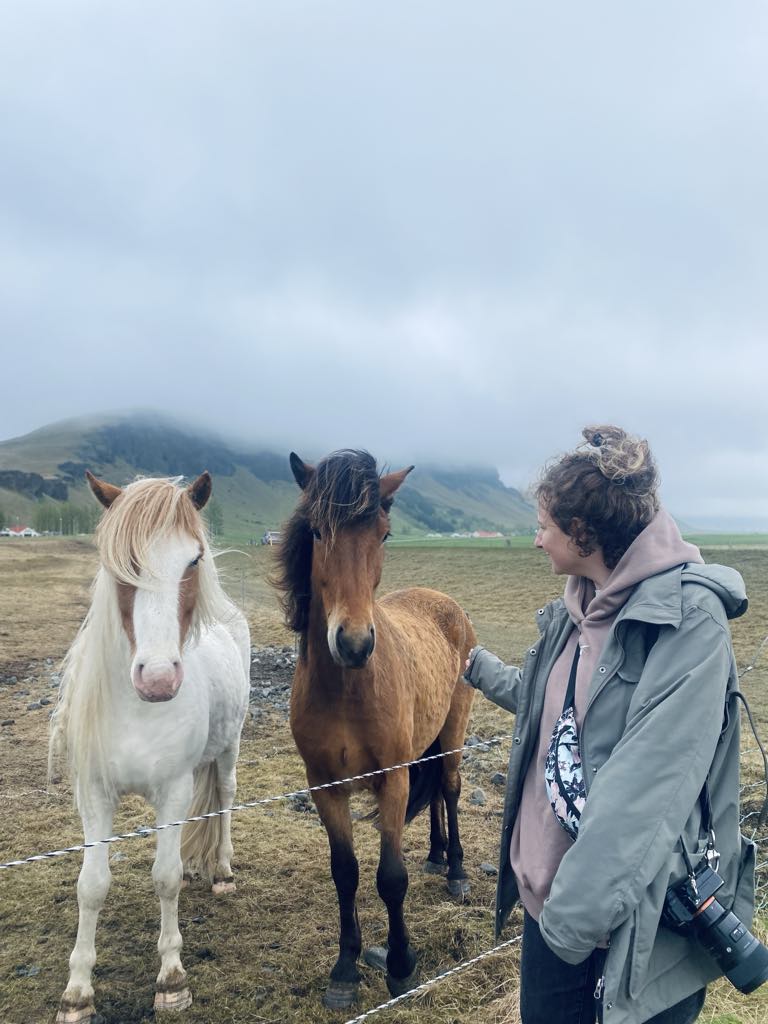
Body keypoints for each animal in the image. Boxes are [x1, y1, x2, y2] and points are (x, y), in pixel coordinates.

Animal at [49, 471, 251, 1023]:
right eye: (122, 563)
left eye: (194, 560)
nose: (158, 679)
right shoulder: (95, 795)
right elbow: (91, 885)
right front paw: (78, 991)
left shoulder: (173, 791)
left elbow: (166, 877)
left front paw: (172, 979)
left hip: (230, 747)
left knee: (225, 797)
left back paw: (222, 869)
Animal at [274, 449, 476, 1009]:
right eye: (317, 531)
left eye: (384, 535)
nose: (354, 643)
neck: (347, 690)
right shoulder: (324, 786)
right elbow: (345, 874)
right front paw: (345, 970)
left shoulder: (393, 778)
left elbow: (390, 877)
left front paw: (402, 964)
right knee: (436, 795)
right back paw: (435, 854)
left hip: (452, 734)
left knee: (449, 787)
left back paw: (455, 870)